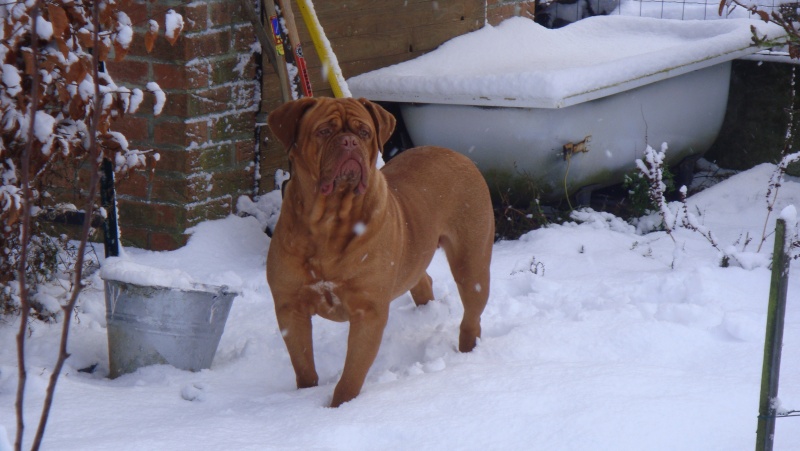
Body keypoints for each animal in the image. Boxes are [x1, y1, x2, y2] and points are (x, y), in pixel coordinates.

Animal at [268, 97, 494, 408]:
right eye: (324, 131)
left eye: (364, 132)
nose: (349, 141)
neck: (329, 220)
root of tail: (455, 153)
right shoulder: (290, 307)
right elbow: (303, 364)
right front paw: (306, 393)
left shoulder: (368, 312)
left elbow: (352, 374)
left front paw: (339, 407)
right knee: (422, 281)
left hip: (471, 263)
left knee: (472, 314)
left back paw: (466, 353)